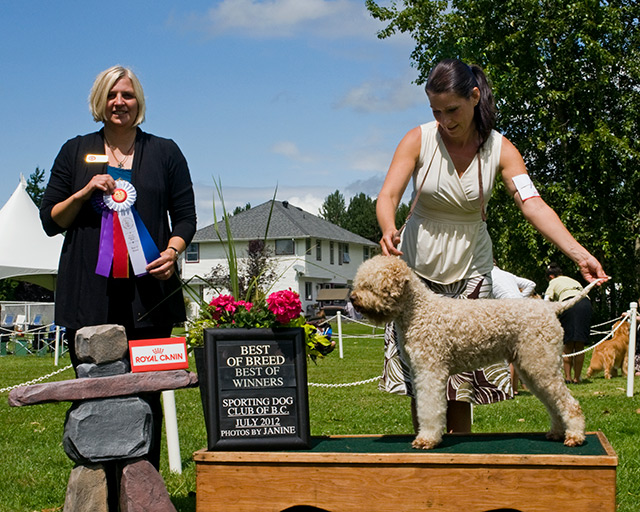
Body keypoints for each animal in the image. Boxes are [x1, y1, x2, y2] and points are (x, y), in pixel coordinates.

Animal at [350, 256, 600, 448]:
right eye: (359, 283)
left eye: (370, 286)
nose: (352, 299)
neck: (418, 311)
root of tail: (551, 307)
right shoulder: (419, 372)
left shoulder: (430, 372)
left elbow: (430, 408)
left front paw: (427, 439)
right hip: (533, 368)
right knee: (554, 403)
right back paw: (557, 433)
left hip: (541, 364)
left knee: (569, 403)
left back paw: (575, 436)